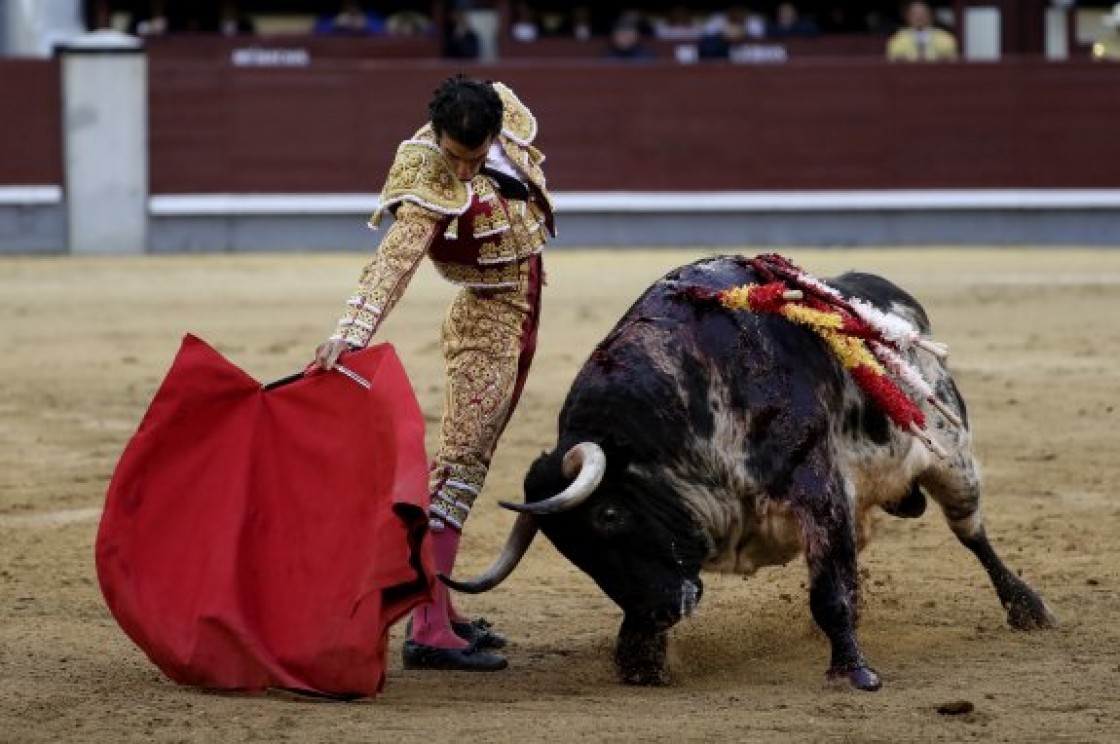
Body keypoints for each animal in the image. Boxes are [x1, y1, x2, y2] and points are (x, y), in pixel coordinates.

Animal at [441, 255, 1052, 690]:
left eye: (610, 515)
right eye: (570, 550)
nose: (661, 608)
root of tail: (890, 301)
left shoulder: (819, 490)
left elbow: (829, 592)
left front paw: (854, 671)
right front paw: (641, 659)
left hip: (952, 457)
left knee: (972, 534)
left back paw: (1028, 608)